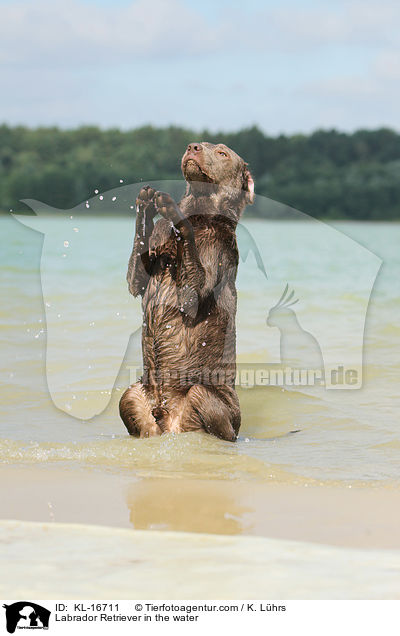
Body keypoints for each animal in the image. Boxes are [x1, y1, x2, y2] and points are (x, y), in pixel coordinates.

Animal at [120, 142, 255, 440]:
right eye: (201, 144)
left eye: (222, 152)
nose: (193, 146)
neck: (202, 212)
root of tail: (169, 420)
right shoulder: (141, 275)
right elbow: (136, 274)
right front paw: (146, 204)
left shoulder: (212, 260)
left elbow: (193, 286)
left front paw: (173, 210)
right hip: (134, 394)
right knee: (130, 398)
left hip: (206, 397)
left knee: (204, 402)